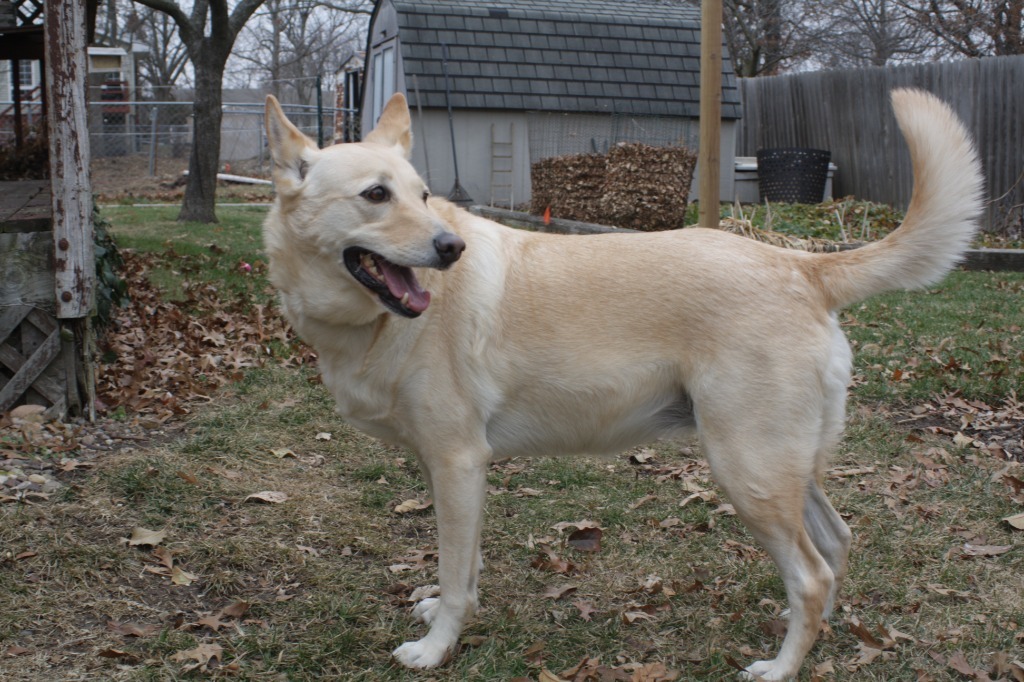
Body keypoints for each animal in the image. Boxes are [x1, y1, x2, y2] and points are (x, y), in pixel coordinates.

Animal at [264, 89, 983, 675]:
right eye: (376, 194)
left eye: (419, 194)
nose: (450, 248)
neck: (370, 325)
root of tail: (798, 265)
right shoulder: (450, 471)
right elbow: (462, 567)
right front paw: (439, 607)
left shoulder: (459, 462)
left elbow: (457, 575)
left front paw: (436, 647)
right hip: (783, 468)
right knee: (834, 550)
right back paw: (813, 638)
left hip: (746, 470)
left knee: (809, 575)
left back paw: (779, 668)